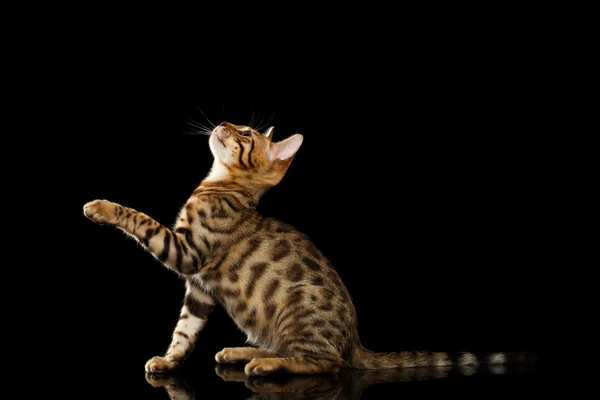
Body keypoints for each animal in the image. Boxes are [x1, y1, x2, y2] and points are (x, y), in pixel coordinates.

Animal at [83, 121, 528, 376]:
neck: (221, 184)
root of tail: (355, 342)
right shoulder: (200, 288)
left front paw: (100, 207)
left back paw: (265, 364)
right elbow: (184, 331)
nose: (223, 122)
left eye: (245, 133)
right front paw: (168, 361)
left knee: (327, 364)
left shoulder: (188, 251)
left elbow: (140, 219)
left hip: (301, 317)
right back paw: (239, 351)